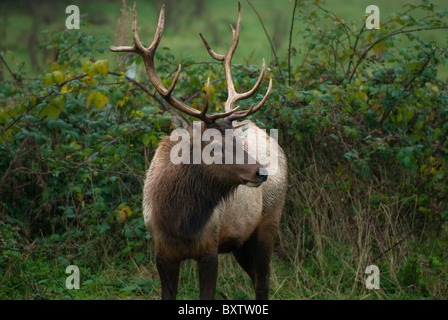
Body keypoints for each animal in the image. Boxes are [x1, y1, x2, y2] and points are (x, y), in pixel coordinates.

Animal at [110, 0, 288, 300]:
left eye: (237, 142)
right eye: (213, 145)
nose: (261, 173)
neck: (179, 222)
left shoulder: (209, 248)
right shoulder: (162, 251)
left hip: (268, 222)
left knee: (263, 280)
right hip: (241, 242)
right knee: (256, 277)